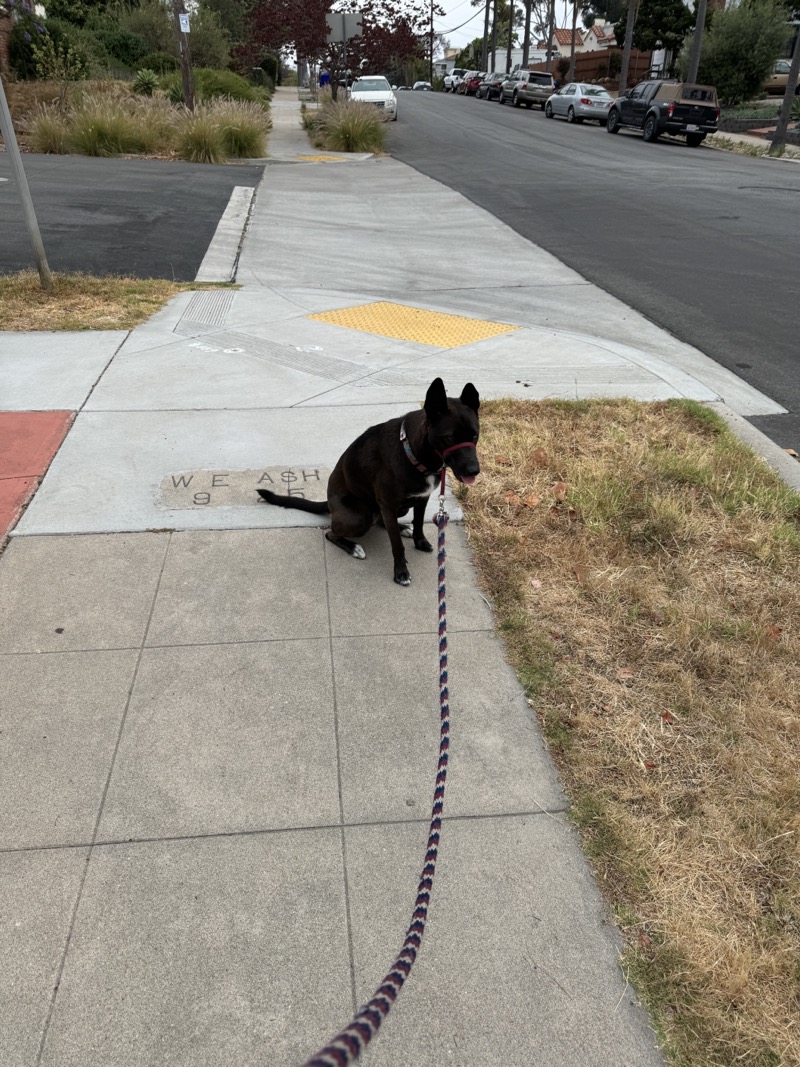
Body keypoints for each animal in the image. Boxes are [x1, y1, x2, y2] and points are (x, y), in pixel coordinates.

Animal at [260, 379, 480, 588]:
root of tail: (329, 503)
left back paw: (402, 528)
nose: (474, 471)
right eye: (449, 437)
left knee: (383, 521)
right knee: (331, 533)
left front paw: (419, 542)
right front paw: (401, 572)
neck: (412, 452)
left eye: (475, 435)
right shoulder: (388, 504)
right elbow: (396, 545)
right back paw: (353, 547)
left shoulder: (421, 499)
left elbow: (418, 524)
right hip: (359, 518)